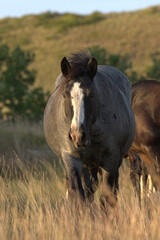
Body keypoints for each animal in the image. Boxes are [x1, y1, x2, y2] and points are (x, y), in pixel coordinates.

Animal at [43, 49, 135, 208]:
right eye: (65, 94)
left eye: (91, 95)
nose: (77, 135)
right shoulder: (71, 159)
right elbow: (79, 195)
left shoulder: (110, 161)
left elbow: (107, 198)